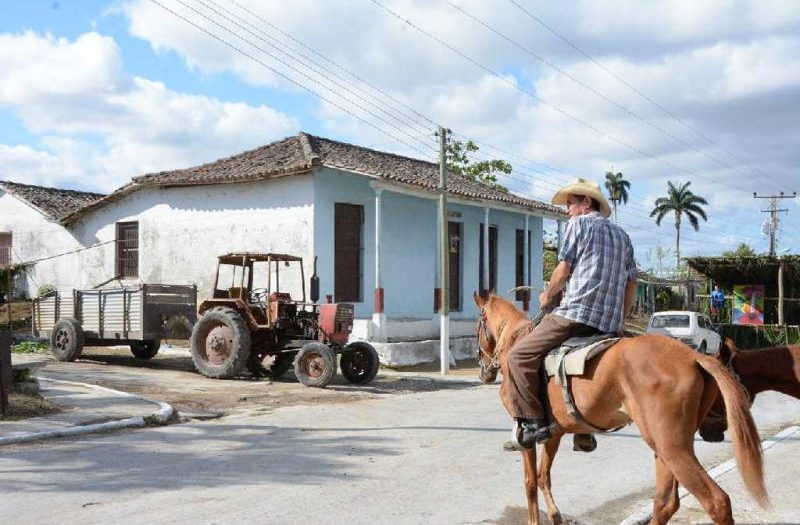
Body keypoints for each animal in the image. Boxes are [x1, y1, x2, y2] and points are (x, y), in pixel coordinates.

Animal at [476, 292, 768, 524]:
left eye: (480, 323)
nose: (485, 372)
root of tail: (693, 356)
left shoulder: (526, 431)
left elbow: (529, 481)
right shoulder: (554, 431)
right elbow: (543, 475)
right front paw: (556, 516)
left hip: (672, 448)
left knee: (716, 502)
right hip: (664, 446)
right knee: (665, 502)